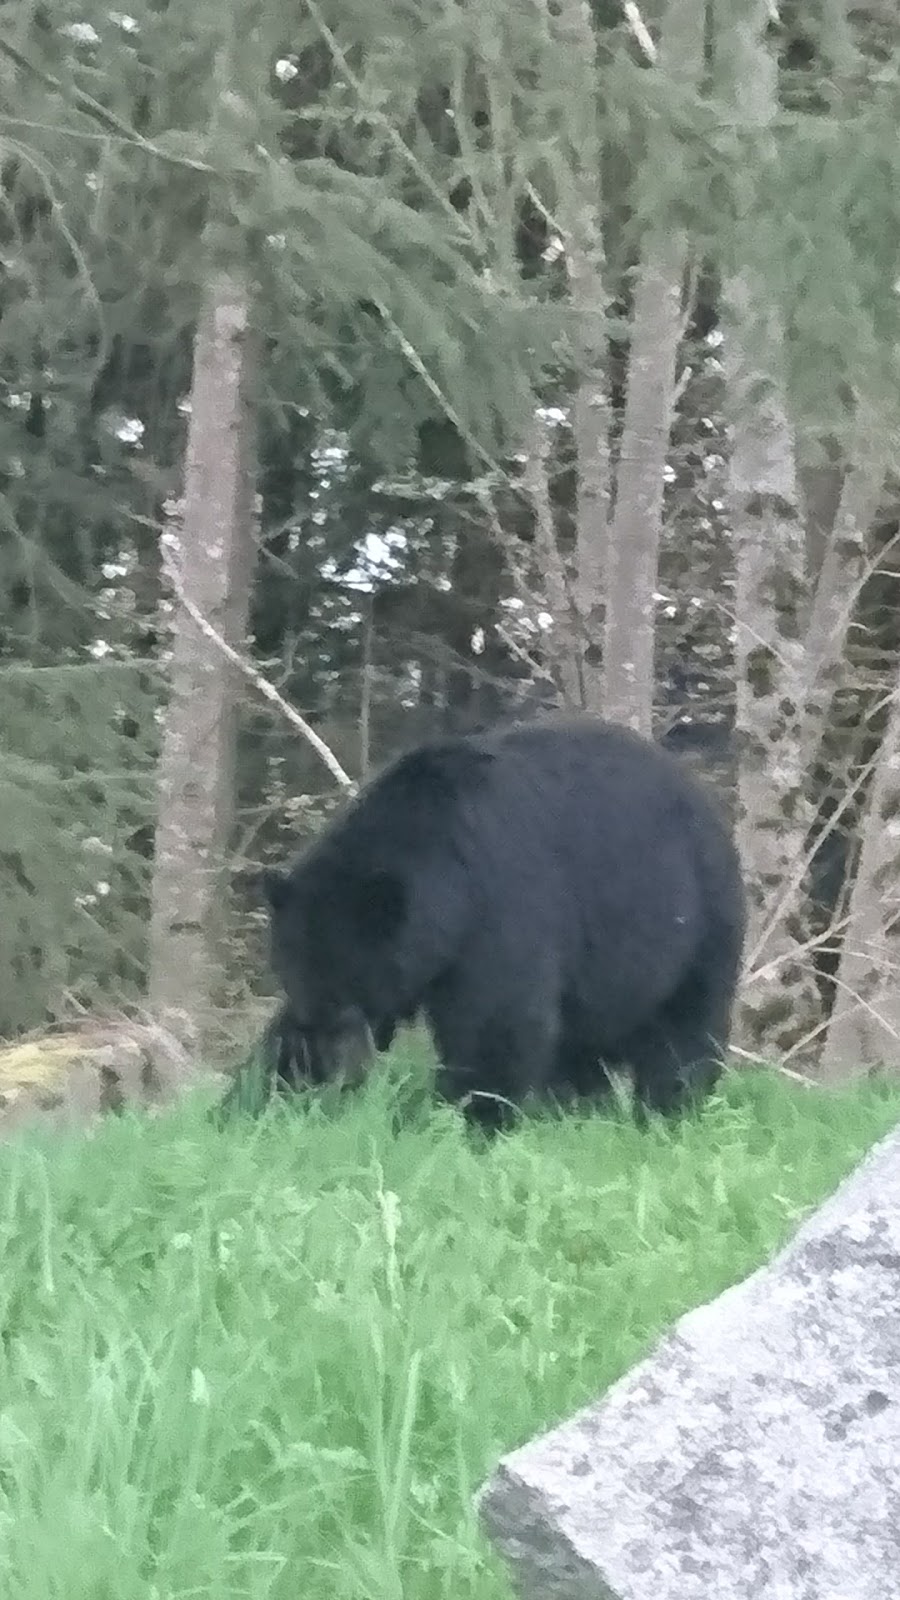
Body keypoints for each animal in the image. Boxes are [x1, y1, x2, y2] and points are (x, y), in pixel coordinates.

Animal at [259, 720, 743, 1132]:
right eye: (293, 972)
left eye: (347, 983)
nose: (329, 1055)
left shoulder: (502, 905)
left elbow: (498, 1024)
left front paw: (468, 1119)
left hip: (697, 922)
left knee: (683, 1033)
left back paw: (667, 1111)